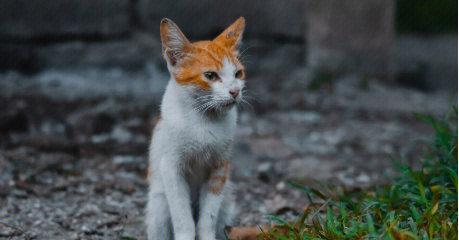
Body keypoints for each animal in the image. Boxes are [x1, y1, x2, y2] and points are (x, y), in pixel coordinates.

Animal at [146, 16, 248, 240]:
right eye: (210, 75)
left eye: (238, 73)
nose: (235, 91)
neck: (204, 119)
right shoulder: (171, 167)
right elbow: (183, 217)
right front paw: (185, 234)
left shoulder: (220, 167)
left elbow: (207, 217)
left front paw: (207, 234)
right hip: (158, 204)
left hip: (228, 201)